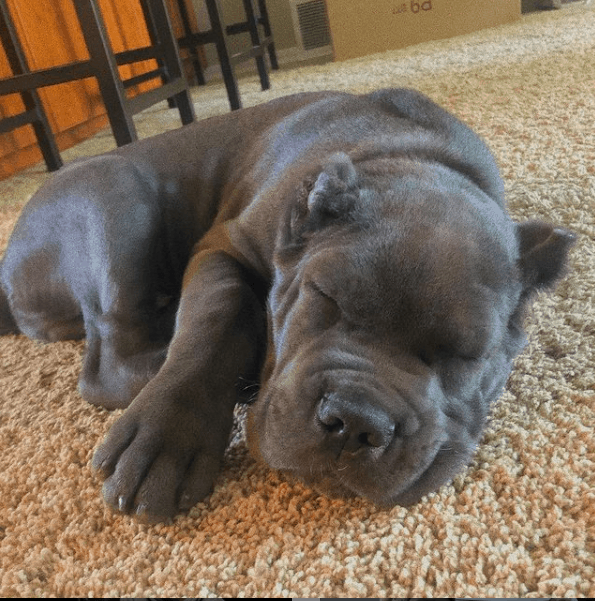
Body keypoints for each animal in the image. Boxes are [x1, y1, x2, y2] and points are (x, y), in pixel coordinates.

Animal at [0, 89, 576, 520]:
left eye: (467, 355)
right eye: (324, 296)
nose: (357, 419)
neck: (414, 159)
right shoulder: (224, 247)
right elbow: (216, 321)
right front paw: (164, 437)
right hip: (115, 194)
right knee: (111, 365)